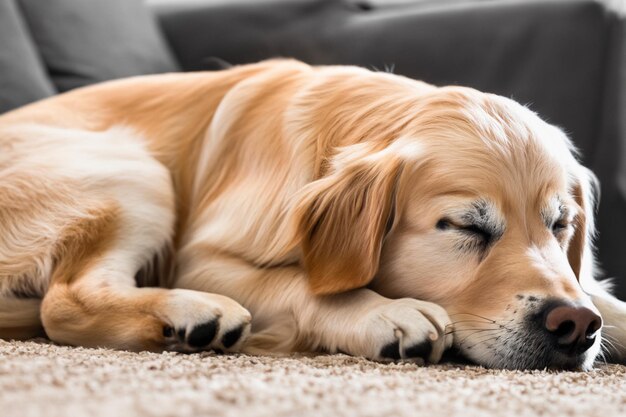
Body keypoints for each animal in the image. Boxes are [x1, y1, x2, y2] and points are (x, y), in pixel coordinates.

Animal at [1, 59, 624, 368]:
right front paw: (384, 312)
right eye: (466, 226)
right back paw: (195, 315)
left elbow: (601, 296)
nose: (574, 325)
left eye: (561, 225)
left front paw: (606, 318)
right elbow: (299, 284)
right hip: (133, 171)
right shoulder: (199, 257)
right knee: (64, 302)